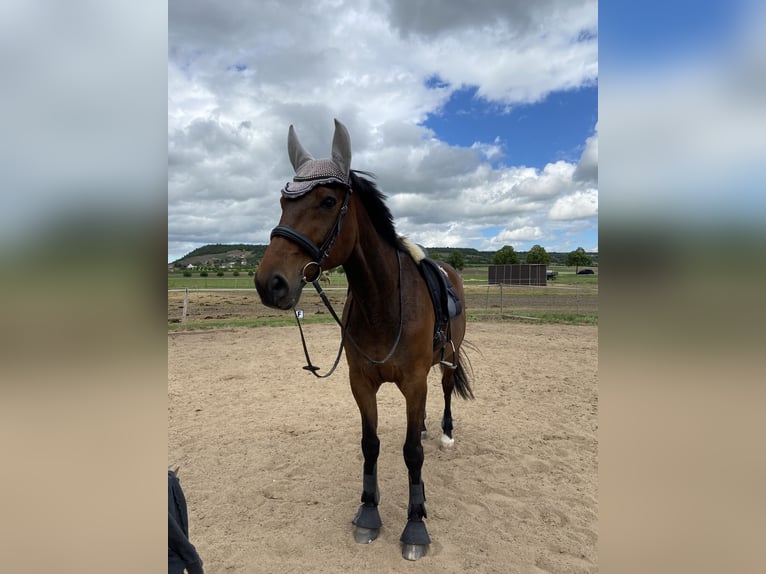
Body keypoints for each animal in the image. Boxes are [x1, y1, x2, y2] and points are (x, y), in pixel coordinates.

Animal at [258, 118, 474, 564]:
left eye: (327, 201)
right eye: (283, 202)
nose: (270, 283)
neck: (383, 304)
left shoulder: (413, 382)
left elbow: (411, 455)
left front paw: (415, 524)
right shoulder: (361, 383)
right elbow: (370, 445)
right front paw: (369, 513)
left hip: (449, 356)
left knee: (445, 390)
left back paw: (444, 433)